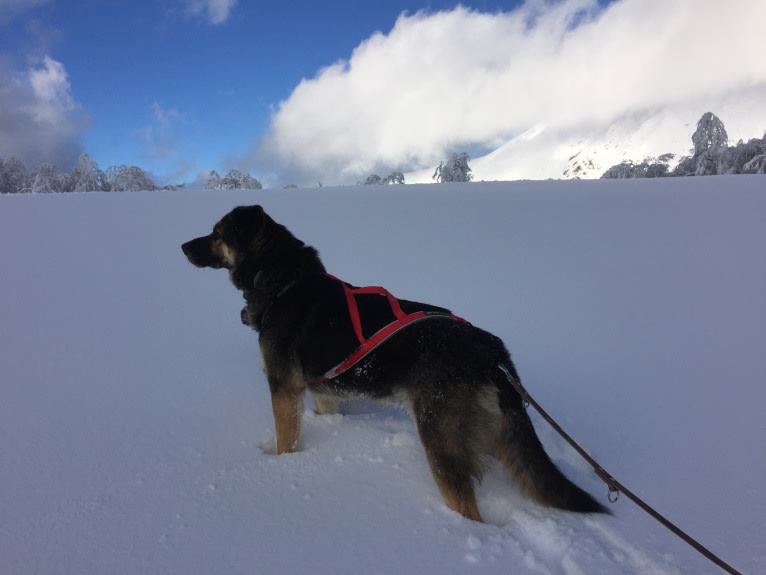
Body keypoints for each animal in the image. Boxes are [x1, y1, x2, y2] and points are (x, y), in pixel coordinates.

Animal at [183, 206, 608, 520]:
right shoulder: (321, 392)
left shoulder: (283, 388)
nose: (183, 246)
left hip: (441, 445)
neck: (280, 281)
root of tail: (491, 352)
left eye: (217, 233)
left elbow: (286, 441)